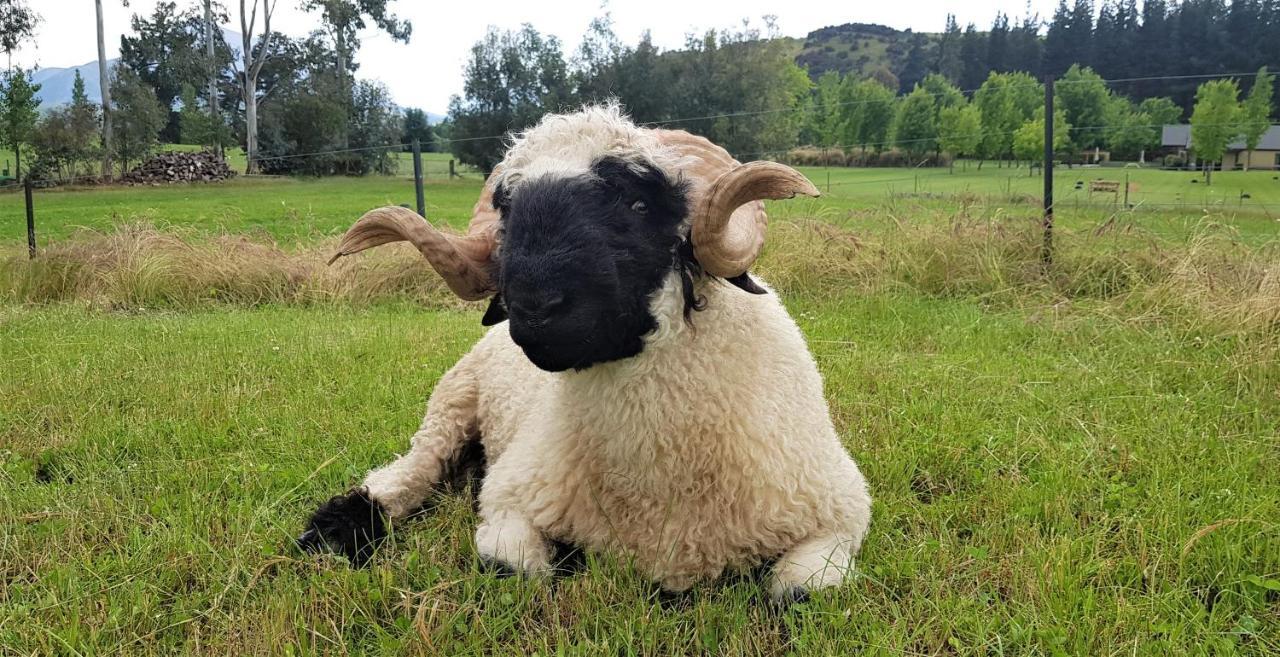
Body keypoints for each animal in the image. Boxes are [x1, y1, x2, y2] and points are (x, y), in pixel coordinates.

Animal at [299, 102, 870, 599]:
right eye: (508, 212)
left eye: (640, 204)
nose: (533, 306)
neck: (659, 497)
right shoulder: (511, 495)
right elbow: (520, 569)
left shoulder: (840, 516)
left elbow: (796, 592)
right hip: (451, 405)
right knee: (407, 475)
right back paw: (334, 531)